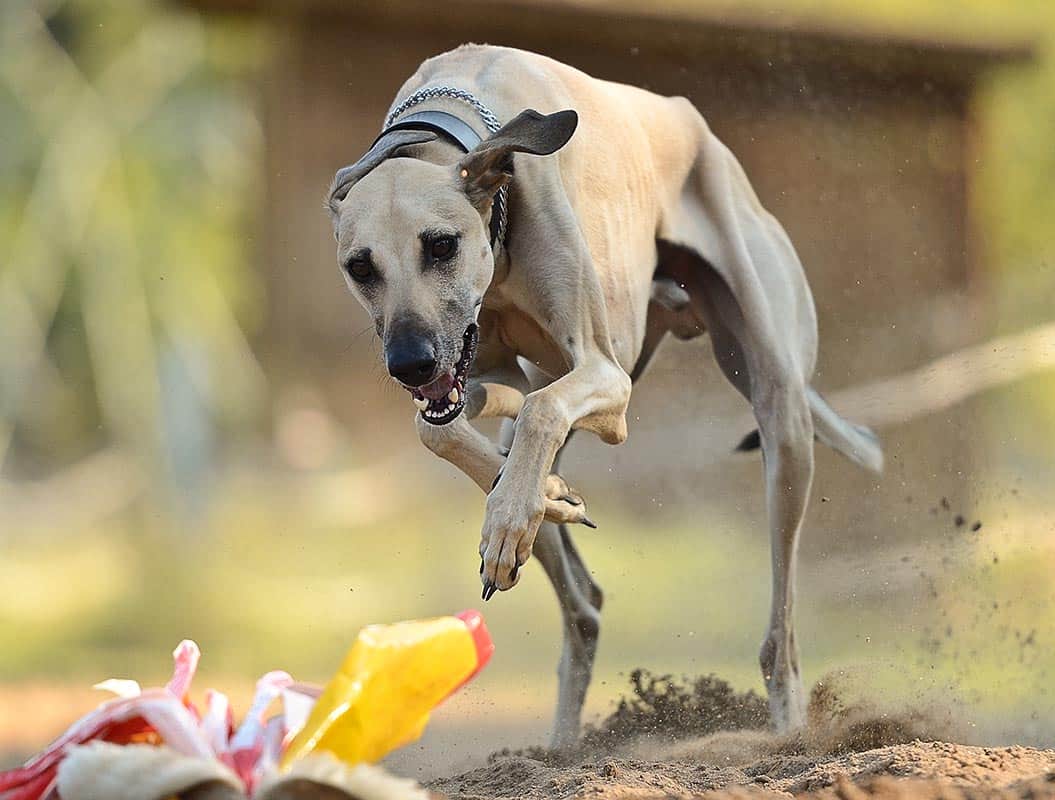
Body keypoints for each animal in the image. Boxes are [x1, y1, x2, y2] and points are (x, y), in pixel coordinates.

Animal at [327, 42, 881, 747]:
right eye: (360, 266)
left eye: (442, 245)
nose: (409, 364)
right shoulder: (486, 370)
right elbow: (444, 427)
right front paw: (539, 500)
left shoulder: (605, 379)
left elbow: (536, 413)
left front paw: (517, 512)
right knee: (582, 600)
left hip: (780, 414)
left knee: (778, 638)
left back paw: (788, 734)